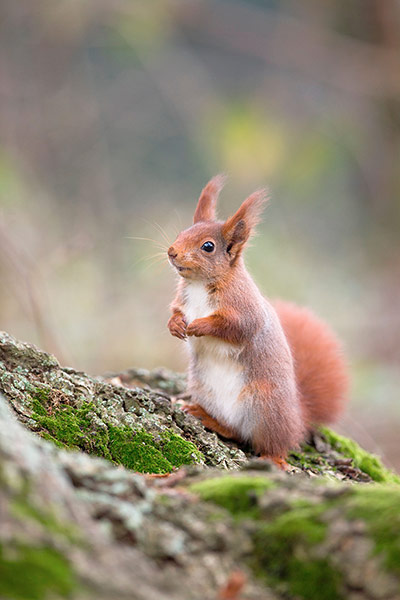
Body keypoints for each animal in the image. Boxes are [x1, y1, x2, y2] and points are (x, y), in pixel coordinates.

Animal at [167, 176, 348, 472]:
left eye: (208, 246)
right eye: (182, 232)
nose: (172, 252)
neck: (200, 285)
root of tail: (297, 418)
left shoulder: (245, 310)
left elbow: (234, 327)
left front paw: (198, 327)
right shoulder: (182, 302)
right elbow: (175, 313)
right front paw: (175, 326)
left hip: (266, 407)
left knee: (272, 442)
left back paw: (274, 458)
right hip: (204, 389)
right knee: (235, 432)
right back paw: (206, 416)